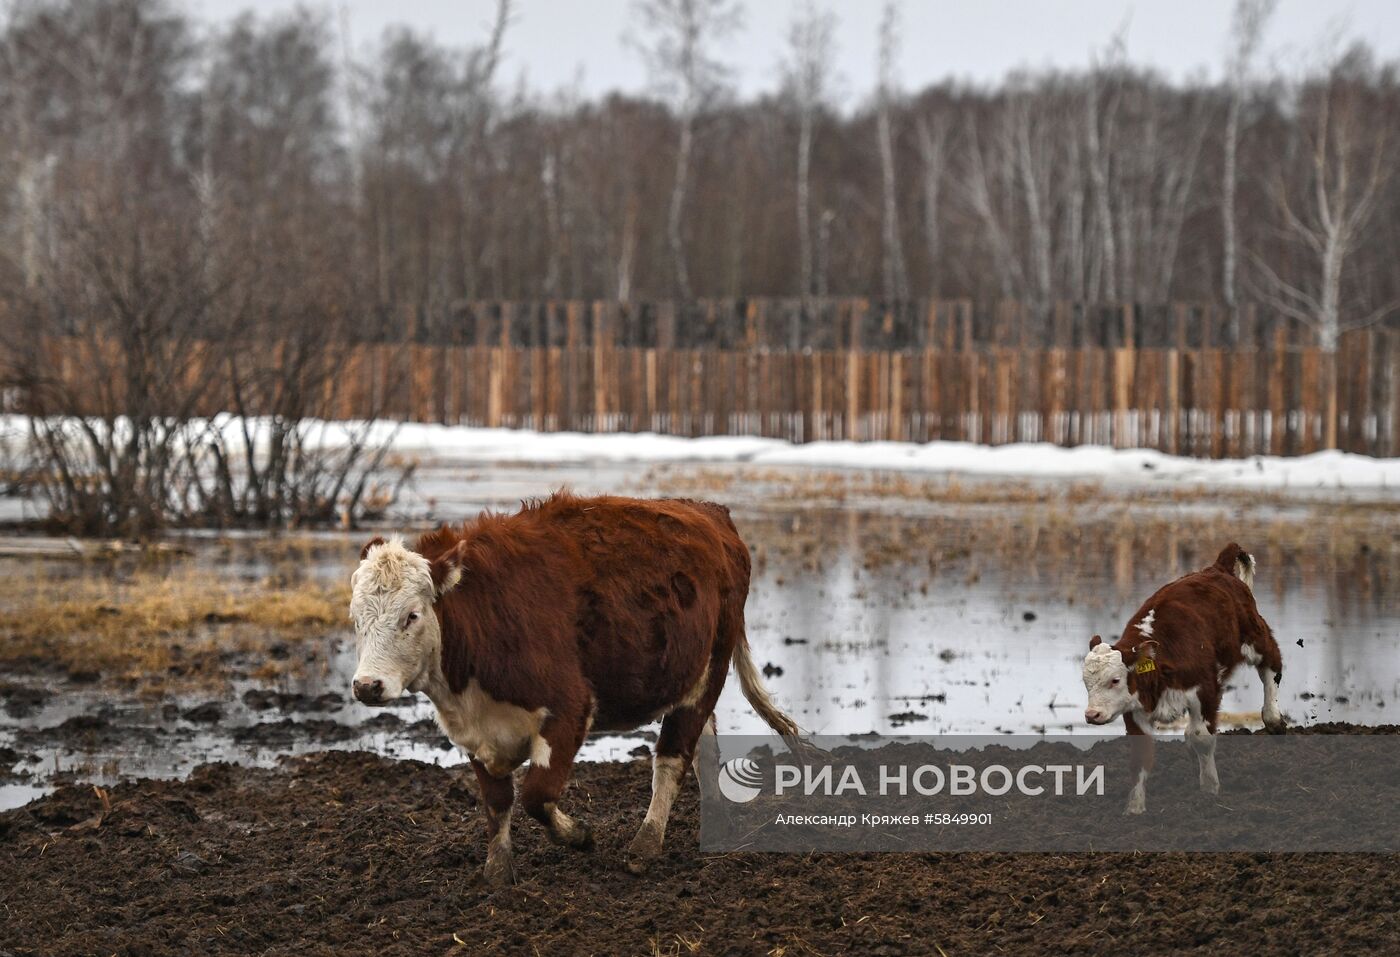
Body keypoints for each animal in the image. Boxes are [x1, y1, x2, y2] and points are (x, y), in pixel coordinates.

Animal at [347, 489, 800, 884]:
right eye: (355, 617)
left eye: (411, 615)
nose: (367, 685)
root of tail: (710, 512)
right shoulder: (475, 734)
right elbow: (497, 803)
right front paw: (497, 871)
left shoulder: (569, 710)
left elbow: (536, 795)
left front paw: (579, 835)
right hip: (687, 678)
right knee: (703, 744)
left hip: (711, 669)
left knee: (672, 759)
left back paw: (645, 844)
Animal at [1075, 545, 1282, 817]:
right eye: (1086, 682)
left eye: (1115, 680)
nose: (1092, 715)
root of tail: (1216, 568)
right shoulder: (1135, 709)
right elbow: (1141, 757)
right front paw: (1135, 808)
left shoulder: (1206, 691)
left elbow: (1202, 738)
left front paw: (1209, 789)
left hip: (1255, 635)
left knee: (1272, 665)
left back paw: (1273, 718)